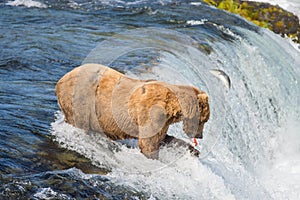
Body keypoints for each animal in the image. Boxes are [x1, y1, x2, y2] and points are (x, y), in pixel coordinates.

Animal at [56, 63, 211, 159]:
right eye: (204, 120)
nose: (200, 135)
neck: (172, 106)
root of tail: (61, 79)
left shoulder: (163, 120)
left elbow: (163, 138)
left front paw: (194, 151)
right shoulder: (152, 112)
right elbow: (149, 143)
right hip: (80, 99)